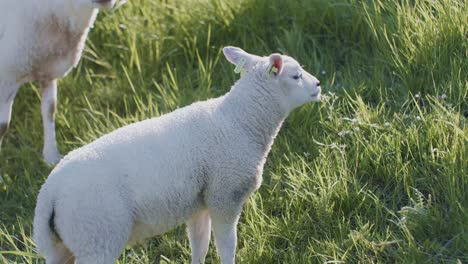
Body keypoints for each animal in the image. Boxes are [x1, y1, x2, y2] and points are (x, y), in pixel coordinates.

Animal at [33, 46, 322, 262]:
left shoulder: (199, 203)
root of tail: (49, 192)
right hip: (96, 234)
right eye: (296, 76)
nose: (319, 84)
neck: (240, 121)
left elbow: (200, 244)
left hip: (65, 244)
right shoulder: (224, 196)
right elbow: (227, 245)